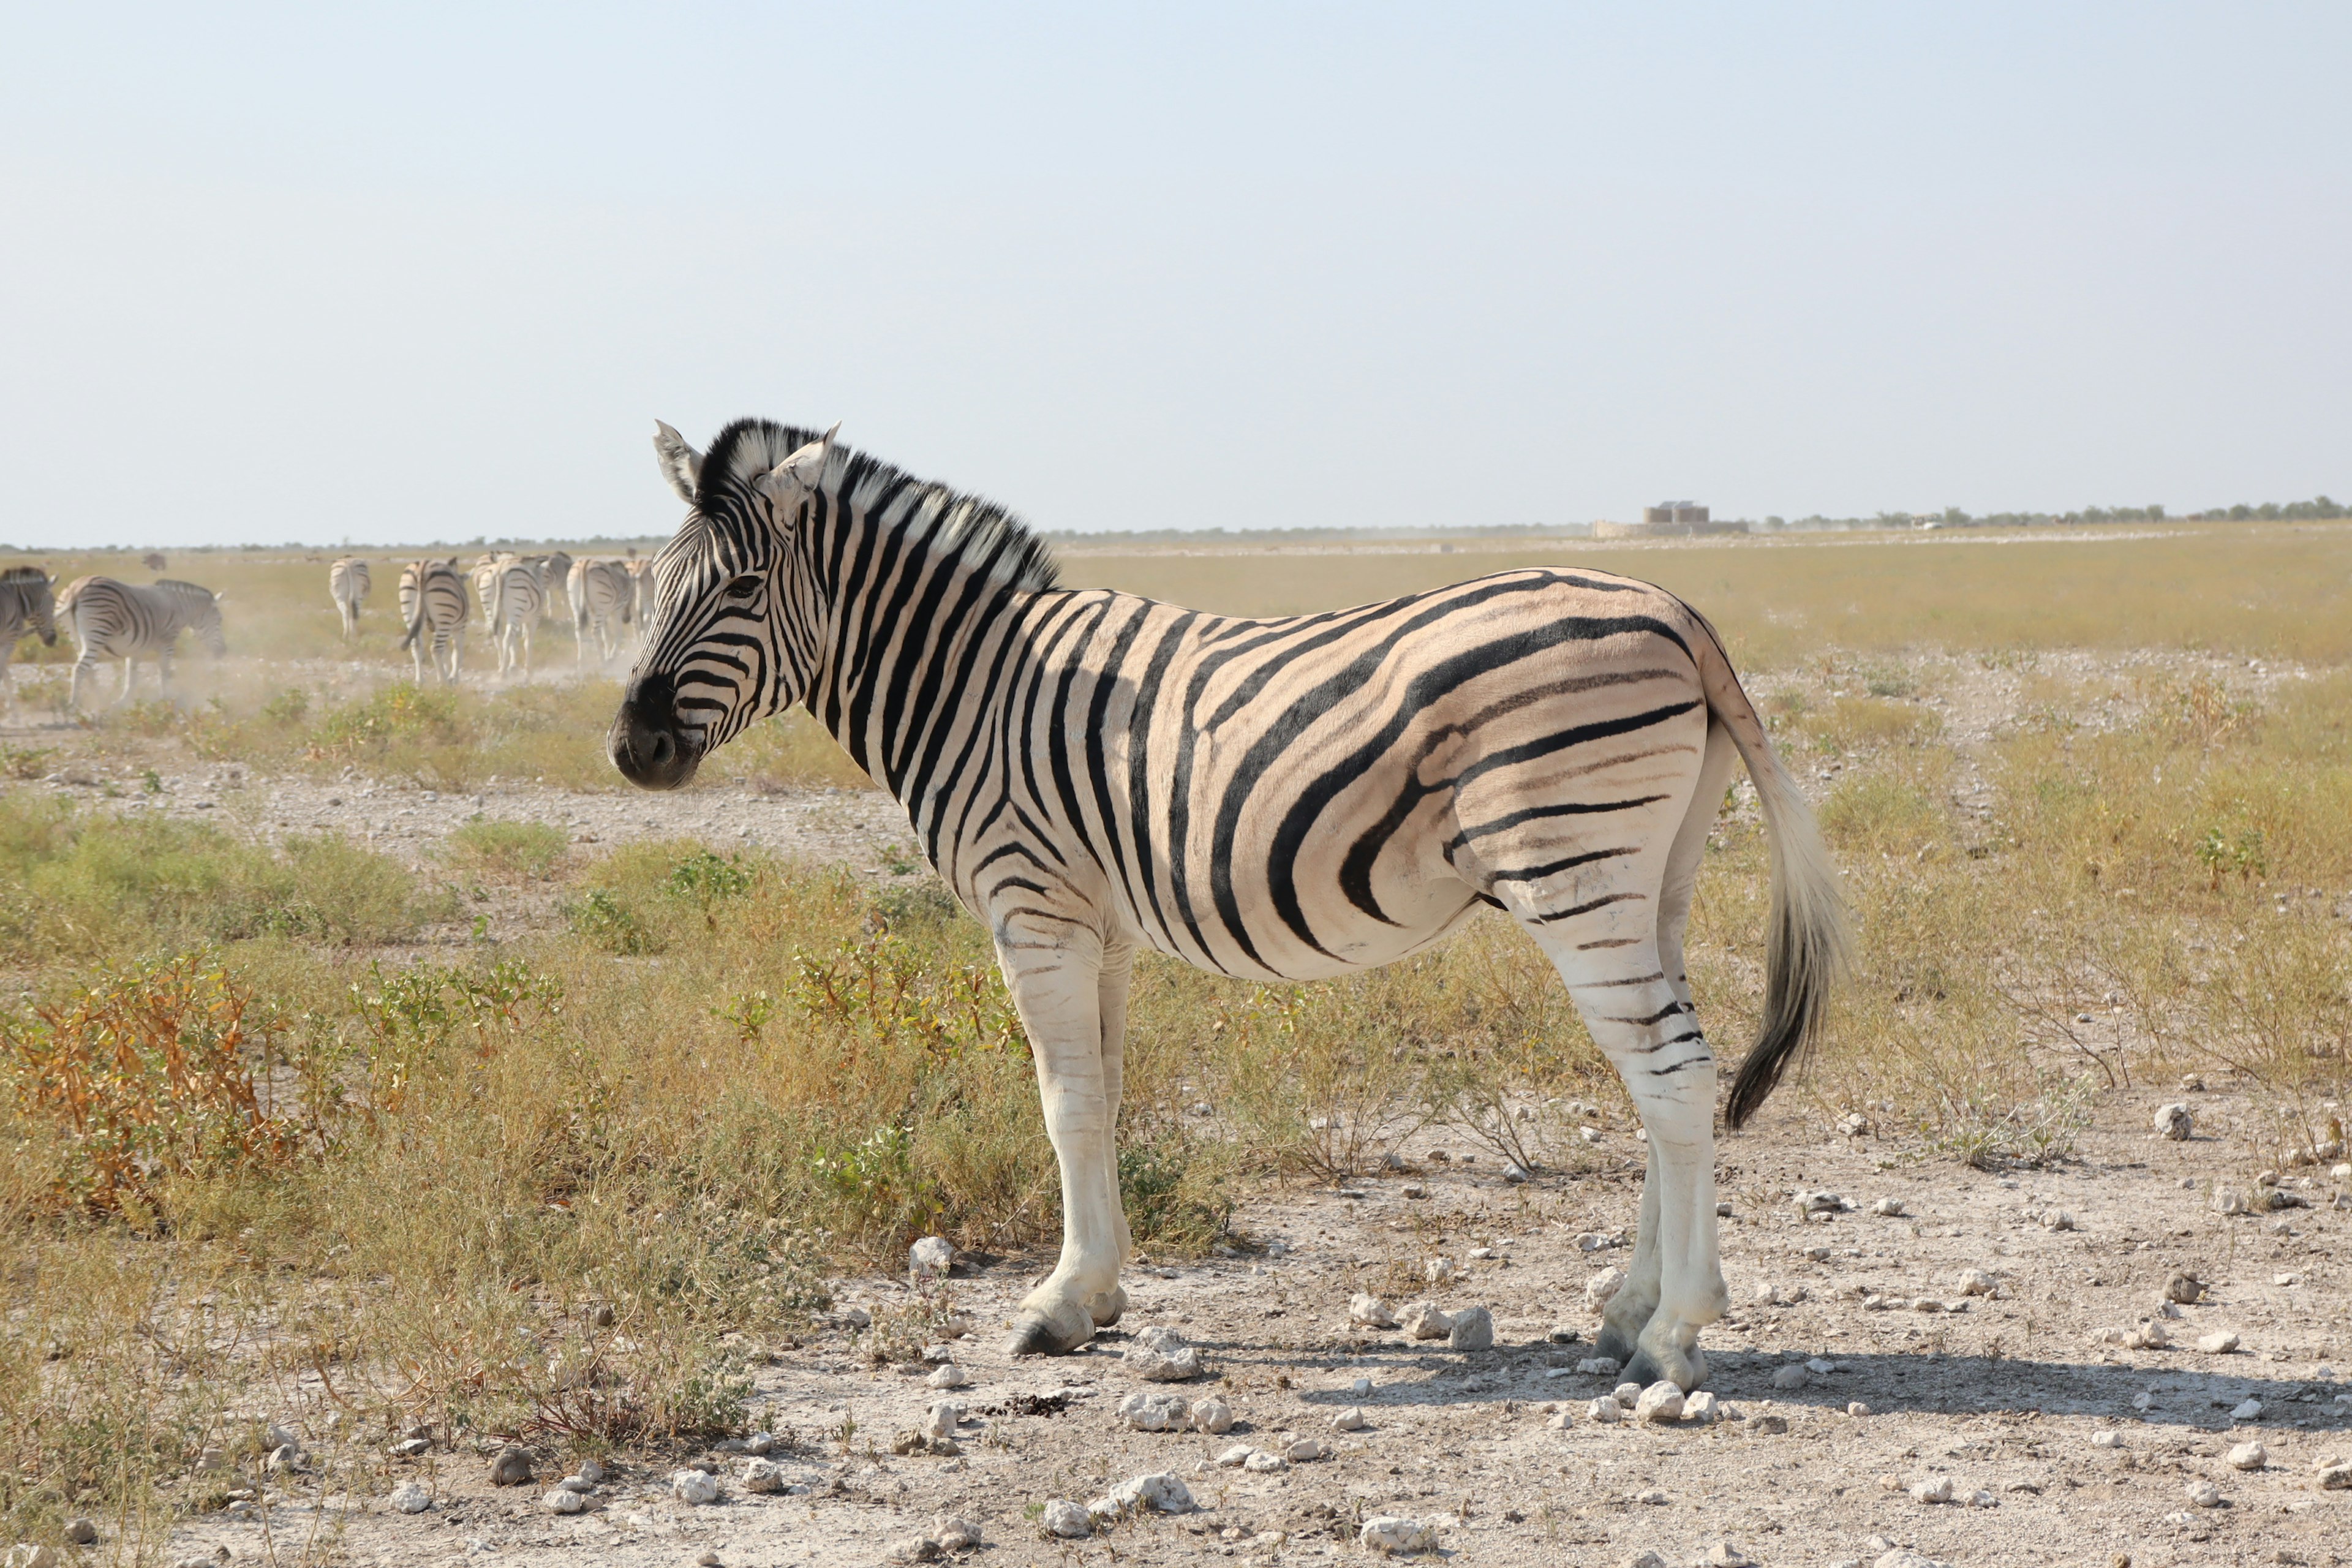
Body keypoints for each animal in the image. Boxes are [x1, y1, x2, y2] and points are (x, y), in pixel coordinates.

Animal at [0, 566, 59, 710]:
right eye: (53, 604)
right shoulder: (9, 640)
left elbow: (5, 673)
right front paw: (13, 711)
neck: (17, 600)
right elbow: (4, 673)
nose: (53, 639)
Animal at [59, 573, 227, 710]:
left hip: (76, 638)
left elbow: (131, 678)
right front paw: (166, 700)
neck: (180, 607)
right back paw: (74, 704)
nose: (223, 652)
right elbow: (164, 673)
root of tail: (76, 590)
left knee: (89, 670)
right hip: (97, 632)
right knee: (80, 668)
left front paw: (122, 702)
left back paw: (101, 701)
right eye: (219, 620)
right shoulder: (168, 641)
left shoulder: (136, 648)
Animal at [395, 564, 468, 686]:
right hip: (444, 616)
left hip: (410, 611)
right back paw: (443, 683)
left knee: (416, 645)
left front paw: (448, 674)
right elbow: (457, 653)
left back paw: (420, 681)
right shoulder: (460, 627)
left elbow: (447, 651)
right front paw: (453, 679)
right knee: (435, 649)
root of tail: (422, 568)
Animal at [567, 557, 635, 668]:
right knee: (595, 632)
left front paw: (608, 656)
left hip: (575, 604)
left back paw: (581, 663)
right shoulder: (617, 610)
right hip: (600, 607)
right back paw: (602, 662)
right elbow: (618, 633)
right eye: (633, 596)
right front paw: (611, 657)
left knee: (578, 631)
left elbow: (606, 635)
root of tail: (585, 564)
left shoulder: (603, 614)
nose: (627, 619)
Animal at [611, 423, 1853, 1392]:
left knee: (1675, 1077)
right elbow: (1105, 1097)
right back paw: (1626, 1315)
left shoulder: (1032, 906)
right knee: (1659, 1084)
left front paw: (1055, 1306)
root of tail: (1673, 605)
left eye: (737, 592)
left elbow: (1063, 1105)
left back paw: (1675, 1337)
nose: (632, 750)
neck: (970, 685)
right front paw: (1099, 1293)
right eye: (648, 593)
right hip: (1654, 880)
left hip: (1575, 867)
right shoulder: (1098, 920)